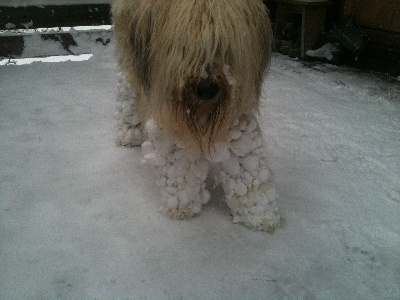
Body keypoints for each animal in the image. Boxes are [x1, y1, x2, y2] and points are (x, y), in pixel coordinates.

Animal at [112, 0, 280, 232]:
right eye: (184, 46)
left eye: (223, 45)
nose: (206, 89)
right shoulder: (172, 120)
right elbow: (181, 168)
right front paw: (181, 207)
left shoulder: (238, 117)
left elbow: (247, 166)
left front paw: (259, 212)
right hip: (129, 60)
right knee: (127, 88)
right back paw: (128, 133)